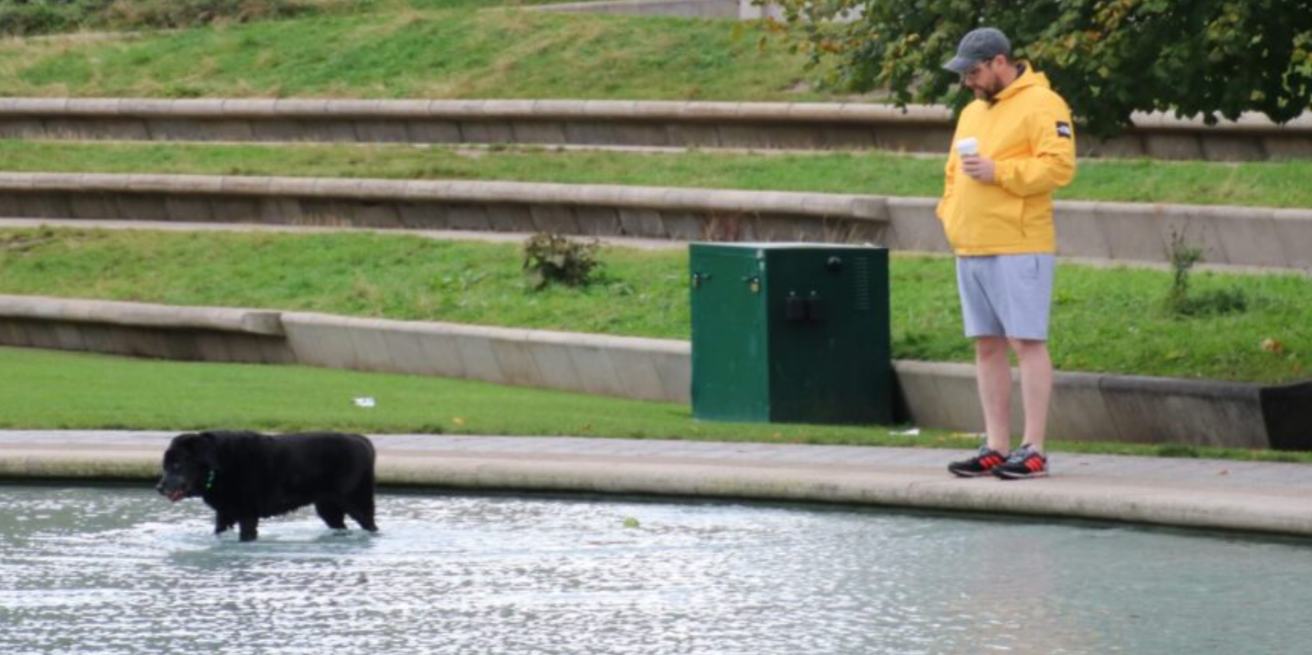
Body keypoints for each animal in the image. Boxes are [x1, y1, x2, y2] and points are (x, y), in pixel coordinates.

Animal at [155, 430, 380, 543]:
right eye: (164, 465)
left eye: (177, 464)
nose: (159, 487)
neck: (220, 464)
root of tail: (362, 440)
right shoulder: (224, 514)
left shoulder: (247, 515)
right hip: (328, 508)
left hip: (356, 502)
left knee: (371, 524)